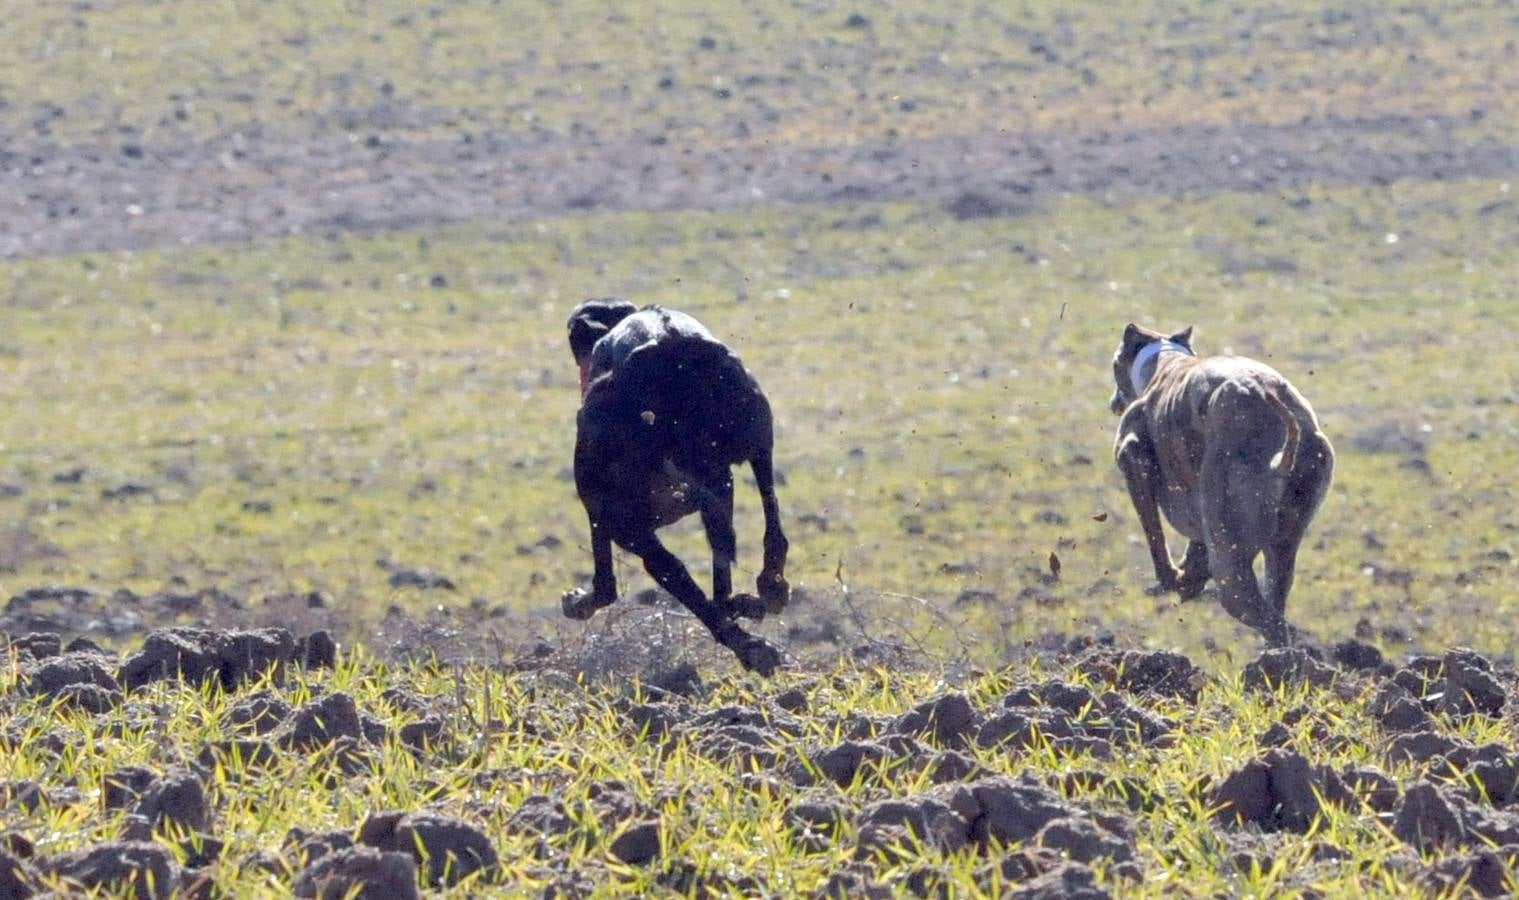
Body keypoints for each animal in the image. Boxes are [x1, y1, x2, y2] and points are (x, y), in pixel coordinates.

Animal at [562, 302, 795, 675]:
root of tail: (669, 351)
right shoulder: (721, 485)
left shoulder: (602, 508)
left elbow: (606, 583)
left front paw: (580, 602)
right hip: (756, 434)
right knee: (767, 521)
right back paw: (766, 590)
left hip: (614, 507)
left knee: (669, 568)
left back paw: (746, 644)